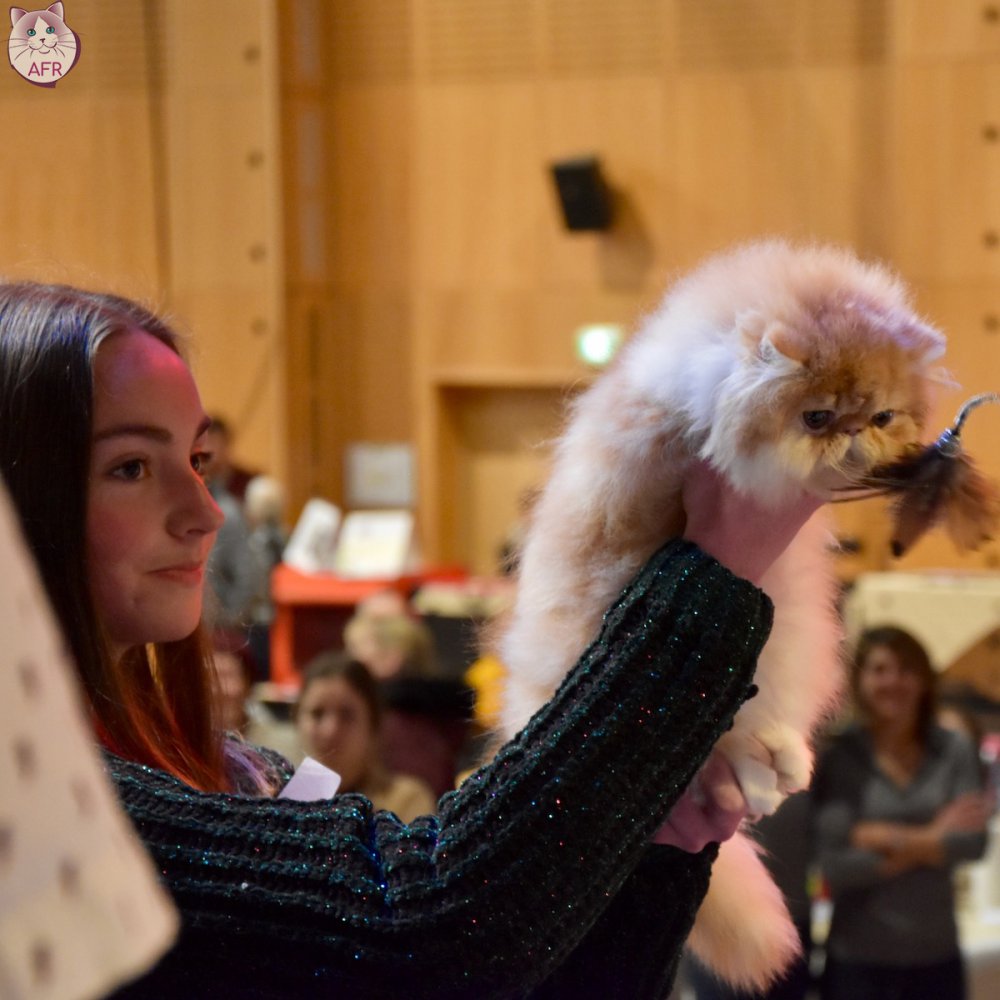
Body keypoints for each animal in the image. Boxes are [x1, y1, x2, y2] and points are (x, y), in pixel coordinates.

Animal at [496, 238, 948, 988]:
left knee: (759, 735)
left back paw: (787, 763)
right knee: (728, 751)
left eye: (882, 417)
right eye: (817, 417)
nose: (855, 432)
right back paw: (765, 780)